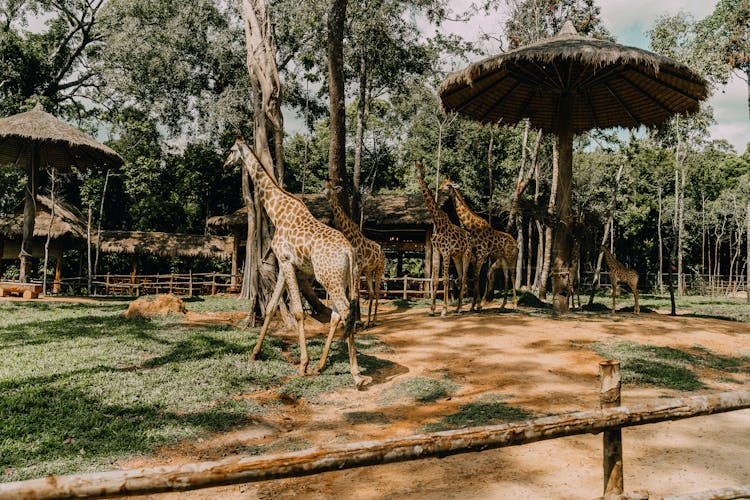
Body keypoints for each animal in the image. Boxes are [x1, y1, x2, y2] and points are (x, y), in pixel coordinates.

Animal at [226, 139, 374, 388]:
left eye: (231, 150)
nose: (226, 163)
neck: (276, 212)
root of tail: (349, 252)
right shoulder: (287, 265)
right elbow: (271, 307)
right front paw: (254, 354)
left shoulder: (286, 262)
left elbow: (297, 312)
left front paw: (303, 364)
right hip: (343, 280)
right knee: (337, 314)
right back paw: (321, 366)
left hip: (329, 279)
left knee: (345, 312)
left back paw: (356, 375)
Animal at [322, 181, 384, 328]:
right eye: (323, 186)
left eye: (332, 188)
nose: (325, 193)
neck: (350, 236)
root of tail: (383, 251)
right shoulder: (356, 268)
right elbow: (352, 294)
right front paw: (354, 323)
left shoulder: (357, 267)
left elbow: (355, 294)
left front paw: (354, 325)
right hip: (368, 271)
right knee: (371, 293)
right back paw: (367, 323)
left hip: (379, 268)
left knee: (377, 292)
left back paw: (374, 321)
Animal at [414, 160, 472, 316]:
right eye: (416, 169)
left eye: (449, 185)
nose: (439, 190)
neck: (438, 222)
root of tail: (470, 236)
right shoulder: (437, 251)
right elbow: (434, 279)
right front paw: (432, 309)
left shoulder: (446, 252)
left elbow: (445, 279)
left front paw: (444, 310)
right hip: (457, 256)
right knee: (459, 277)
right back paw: (457, 308)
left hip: (466, 254)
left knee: (464, 278)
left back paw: (459, 308)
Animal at [438, 178, 520, 310]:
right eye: (442, 183)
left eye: (448, 185)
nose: (439, 190)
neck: (472, 227)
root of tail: (516, 244)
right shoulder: (475, 256)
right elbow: (474, 278)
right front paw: (474, 305)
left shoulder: (481, 255)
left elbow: (476, 278)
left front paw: (477, 305)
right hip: (503, 259)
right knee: (507, 278)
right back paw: (503, 304)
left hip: (512, 258)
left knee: (513, 276)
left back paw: (515, 305)